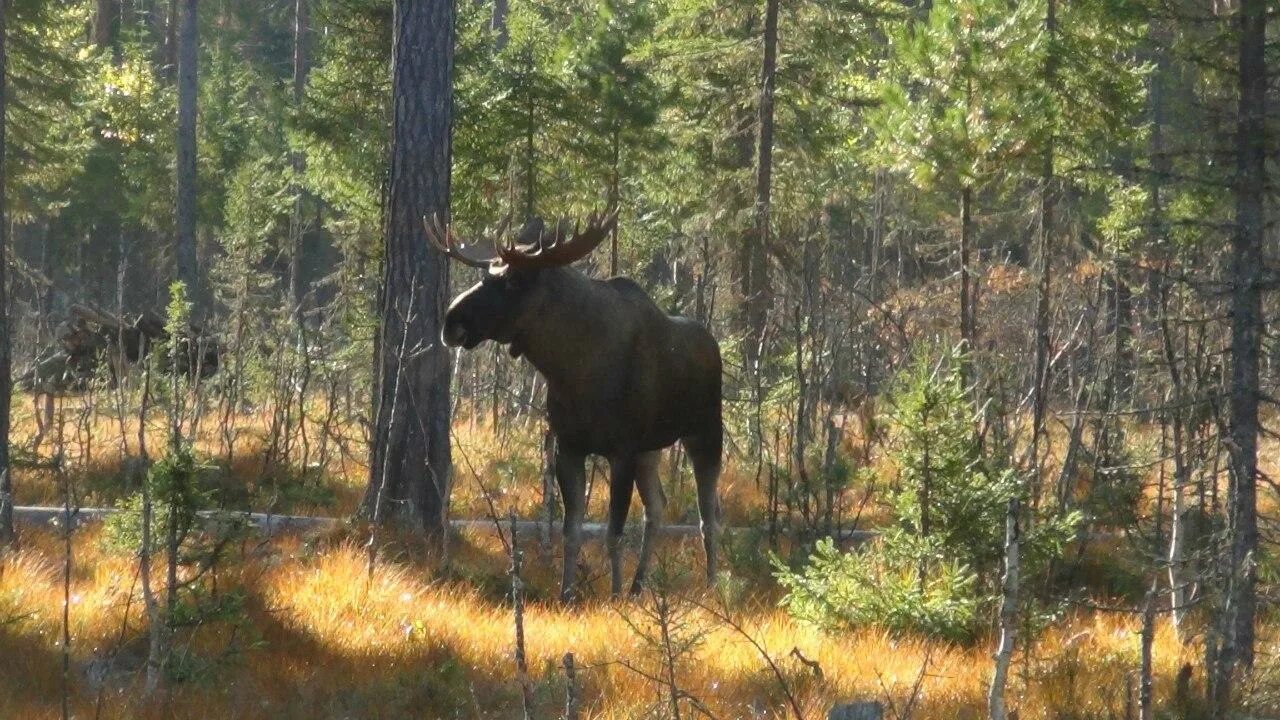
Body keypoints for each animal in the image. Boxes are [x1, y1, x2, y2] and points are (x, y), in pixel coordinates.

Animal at [430, 210, 721, 597]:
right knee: (657, 508)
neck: (573, 370)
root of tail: (712, 343)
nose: (451, 320)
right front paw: (567, 593)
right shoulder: (568, 446)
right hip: (651, 449)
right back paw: (638, 586)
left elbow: (613, 531)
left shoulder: (622, 449)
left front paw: (613, 596)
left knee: (708, 514)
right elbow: (571, 530)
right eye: (485, 273)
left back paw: (712, 585)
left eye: (512, 280)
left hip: (704, 431)